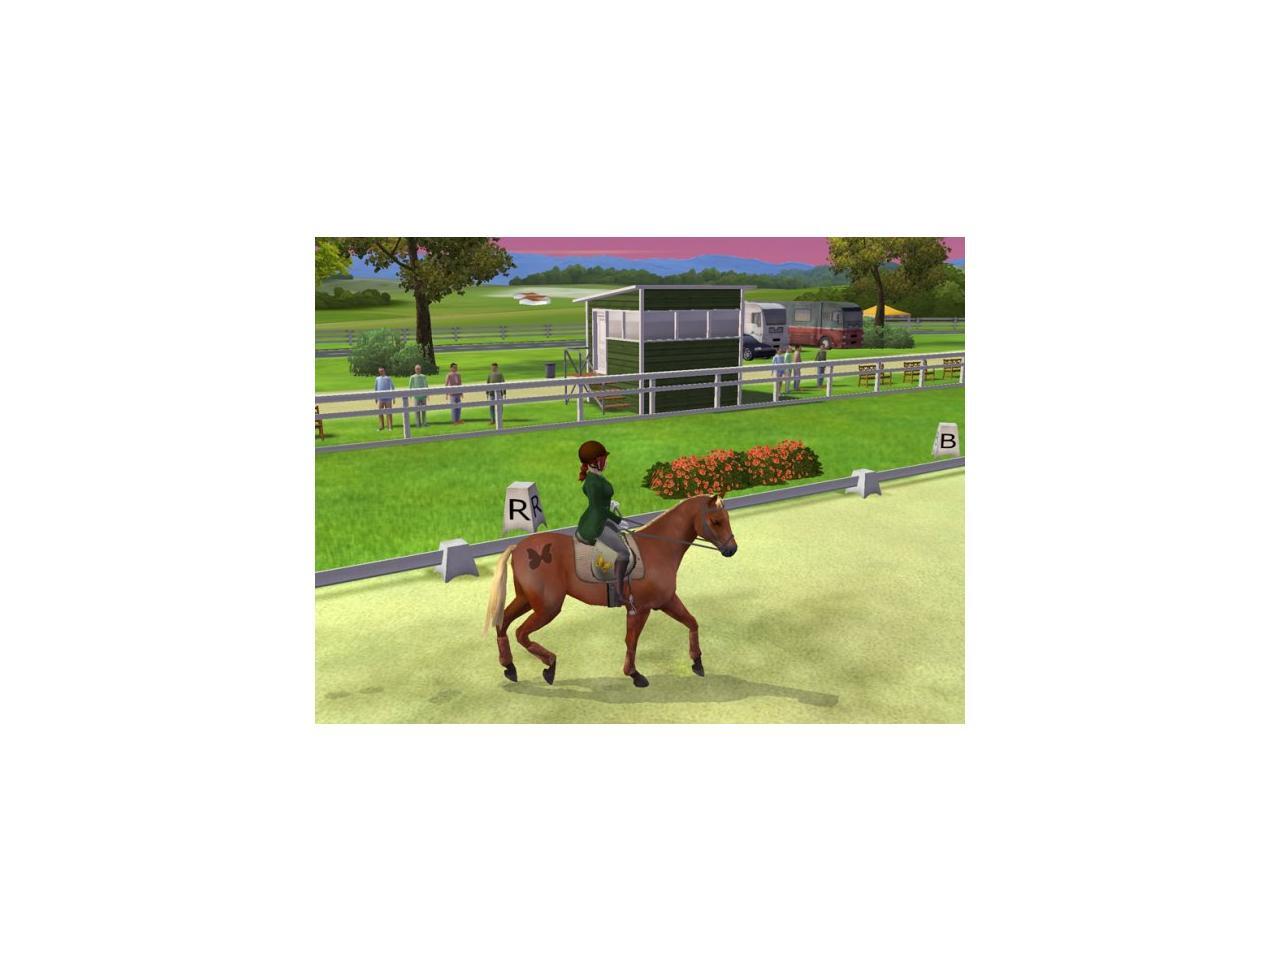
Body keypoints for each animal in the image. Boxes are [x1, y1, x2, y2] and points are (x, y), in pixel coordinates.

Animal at [483, 493, 739, 688]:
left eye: (726, 519)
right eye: (716, 521)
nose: (732, 549)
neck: (659, 547)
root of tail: (518, 547)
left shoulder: (666, 601)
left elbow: (692, 622)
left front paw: (697, 663)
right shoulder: (641, 609)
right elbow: (632, 640)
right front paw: (635, 675)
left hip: (526, 599)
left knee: (502, 624)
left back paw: (510, 668)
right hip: (547, 607)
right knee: (520, 633)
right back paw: (549, 666)